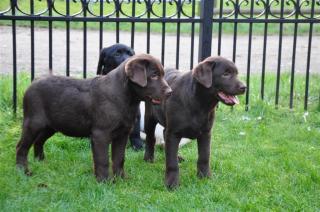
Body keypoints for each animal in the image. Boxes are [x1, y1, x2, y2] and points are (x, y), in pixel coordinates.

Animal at [15, 53, 172, 181]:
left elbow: (119, 158)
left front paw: (121, 179)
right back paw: (23, 171)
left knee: (38, 141)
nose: (170, 92)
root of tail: (33, 82)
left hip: (51, 126)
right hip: (33, 122)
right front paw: (104, 181)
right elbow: (103, 159)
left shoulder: (122, 134)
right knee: (21, 147)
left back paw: (40, 161)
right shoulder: (100, 134)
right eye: (153, 75)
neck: (126, 97)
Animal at [144, 56, 246, 189]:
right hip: (150, 118)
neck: (200, 103)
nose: (244, 87)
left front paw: (205, 177)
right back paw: (148, 158)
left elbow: (204, 156)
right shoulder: (173, 132)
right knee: (150, 138)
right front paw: (172, 183)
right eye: (226, 74)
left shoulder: (206, 133)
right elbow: (171, 162)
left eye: (236, 73)